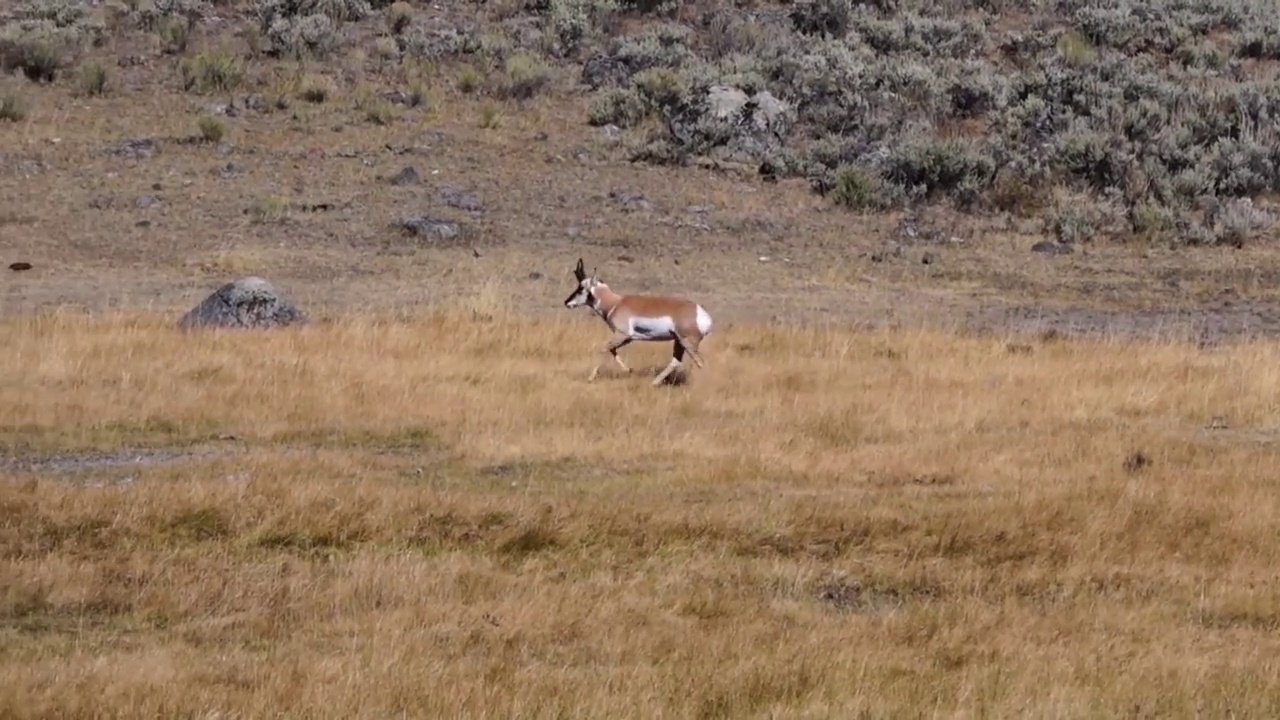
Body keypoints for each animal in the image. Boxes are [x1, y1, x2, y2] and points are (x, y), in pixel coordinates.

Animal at [565, 256, 716, 381]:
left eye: (581, 288)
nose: (567, 302)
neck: (616, 303)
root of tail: (702, 313)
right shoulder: (628, 338)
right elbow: (612, 350)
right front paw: (629, 370)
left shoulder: (621, 335)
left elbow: (603, 349)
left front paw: (590, 378)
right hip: (679, 342)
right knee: (676, 361)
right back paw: (653, 383)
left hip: (688, 343)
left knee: (699, 362)